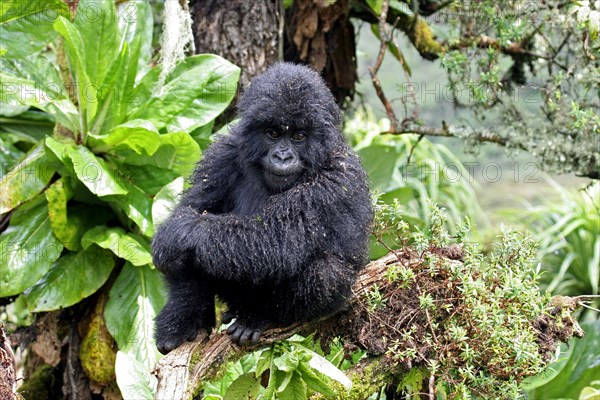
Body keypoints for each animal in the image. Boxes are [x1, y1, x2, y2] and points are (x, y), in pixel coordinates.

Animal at [152, 62, 372, 354]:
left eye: (299, 136)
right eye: (273, 133)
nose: (283, 156)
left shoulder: (338, 179)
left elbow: (276, 241)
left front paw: (181, 231)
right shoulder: (222, 155)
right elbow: (193, 210)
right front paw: (183, 315)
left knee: (325, 272)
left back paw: (263, 317)